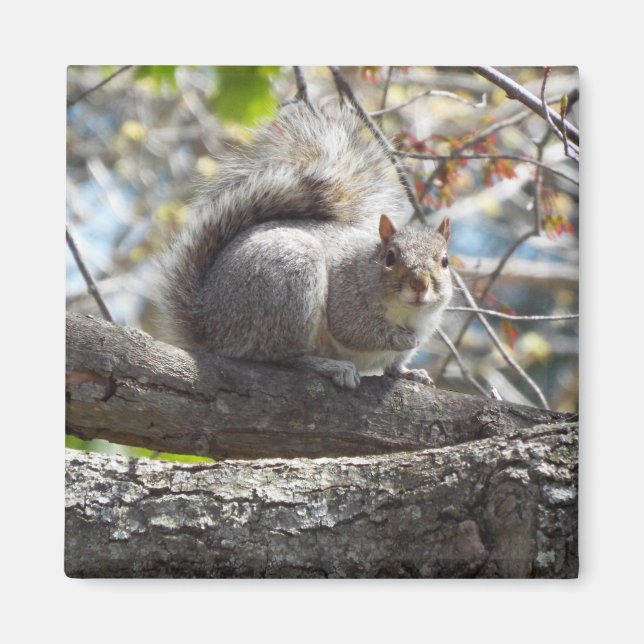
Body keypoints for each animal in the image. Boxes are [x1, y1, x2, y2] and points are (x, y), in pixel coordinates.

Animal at [160, 102, 453, 390]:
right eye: (390, 258)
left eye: (445, 261)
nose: (419, 283)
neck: (407, 313)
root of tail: (208, 325)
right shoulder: (347, 299)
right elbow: (356, 330)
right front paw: (403, 339)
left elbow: (393, 366)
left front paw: (409, 372)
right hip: (288, 282)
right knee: (280, 355)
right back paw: (328, 365)